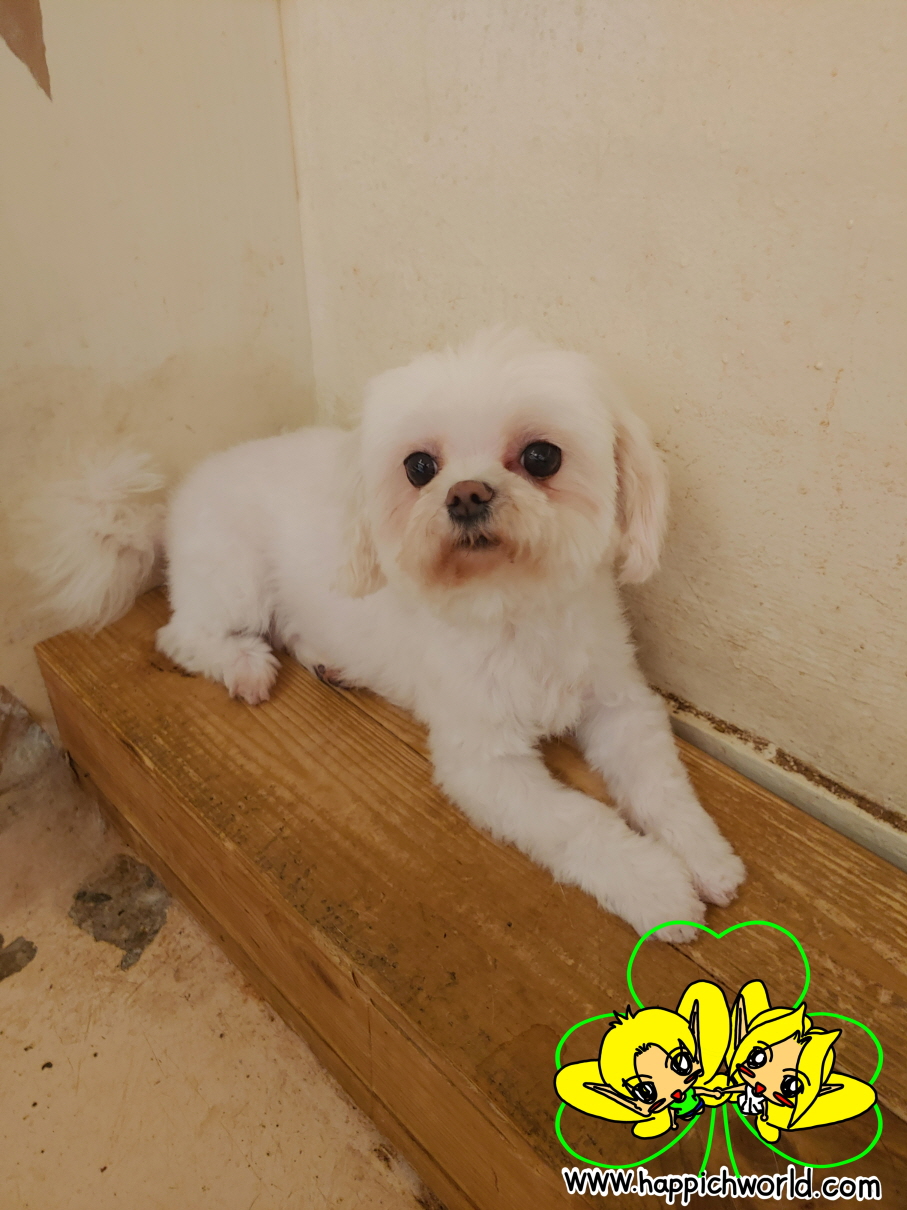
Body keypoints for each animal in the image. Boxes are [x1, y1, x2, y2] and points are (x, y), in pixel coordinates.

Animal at [31, 330, 744, 940]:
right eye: (419, 467)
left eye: (543, 456)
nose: (466, 494)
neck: (514, 611)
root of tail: (168, 509)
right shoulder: (483, 761)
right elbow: (580, 824)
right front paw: (656, 888)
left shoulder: (620, 706)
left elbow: (661, 787)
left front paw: (705, 856)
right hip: (234, 583)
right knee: (181, 637)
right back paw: (245, 667)